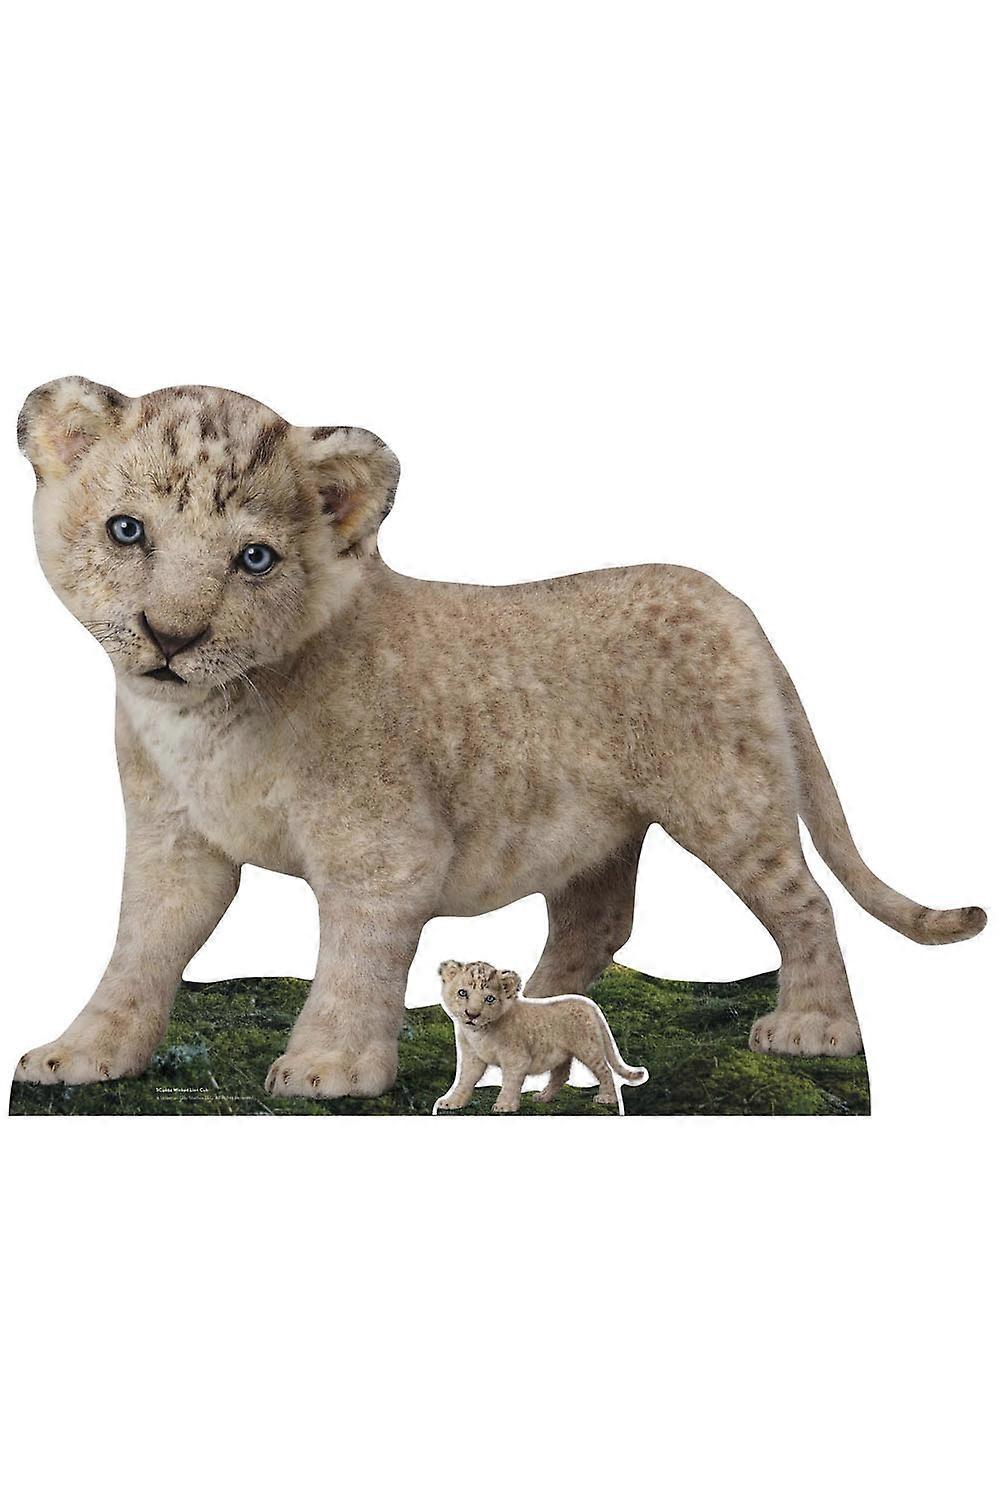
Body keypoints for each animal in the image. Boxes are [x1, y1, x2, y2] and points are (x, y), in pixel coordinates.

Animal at [14, 376, 986, 1097]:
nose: (170, 638)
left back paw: (812, 1028)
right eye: (127, 531)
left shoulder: (385, 851)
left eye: (254, 558)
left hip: (728, 796)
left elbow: (355, 960)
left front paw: (329, 1066)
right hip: (598, 829)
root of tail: (734, 605)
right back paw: (534, 1009)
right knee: (599, 920)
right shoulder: (173, 840)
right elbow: (140, 948)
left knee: (804, 901)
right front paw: (79, 1054)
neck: (207, 718)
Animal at [435, 960, 646, 1113]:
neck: (479, 1033)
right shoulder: (472, 1057)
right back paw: (543, 1097)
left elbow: (510, 1082)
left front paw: (505, 1105)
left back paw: (607, 1098)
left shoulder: (516, 1058)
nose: (472, 1015)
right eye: (462, 993)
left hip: (588, 1047)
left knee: (605, 1070)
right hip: (563, 1053)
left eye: (489, 999)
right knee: (561, 1075)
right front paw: (452, 1101)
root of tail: (589, 1005)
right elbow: (465, 1080)